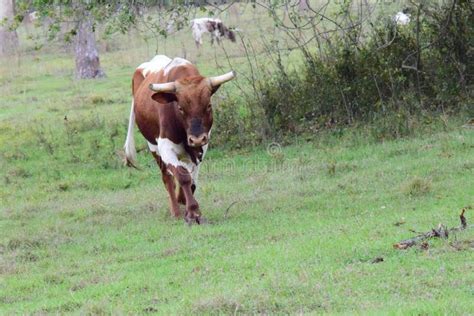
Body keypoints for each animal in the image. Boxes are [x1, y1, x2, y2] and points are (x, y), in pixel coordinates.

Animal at [124, 55, 235, 222]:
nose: (196, 139)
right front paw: (193, 211)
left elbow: (192, 178)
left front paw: (185, 203)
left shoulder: (201, 149)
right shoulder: (165, 147)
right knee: (167, 178)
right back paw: (175, 211)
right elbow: (183, 177)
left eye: (208, 105)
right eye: (180, 108)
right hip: (153, 147)